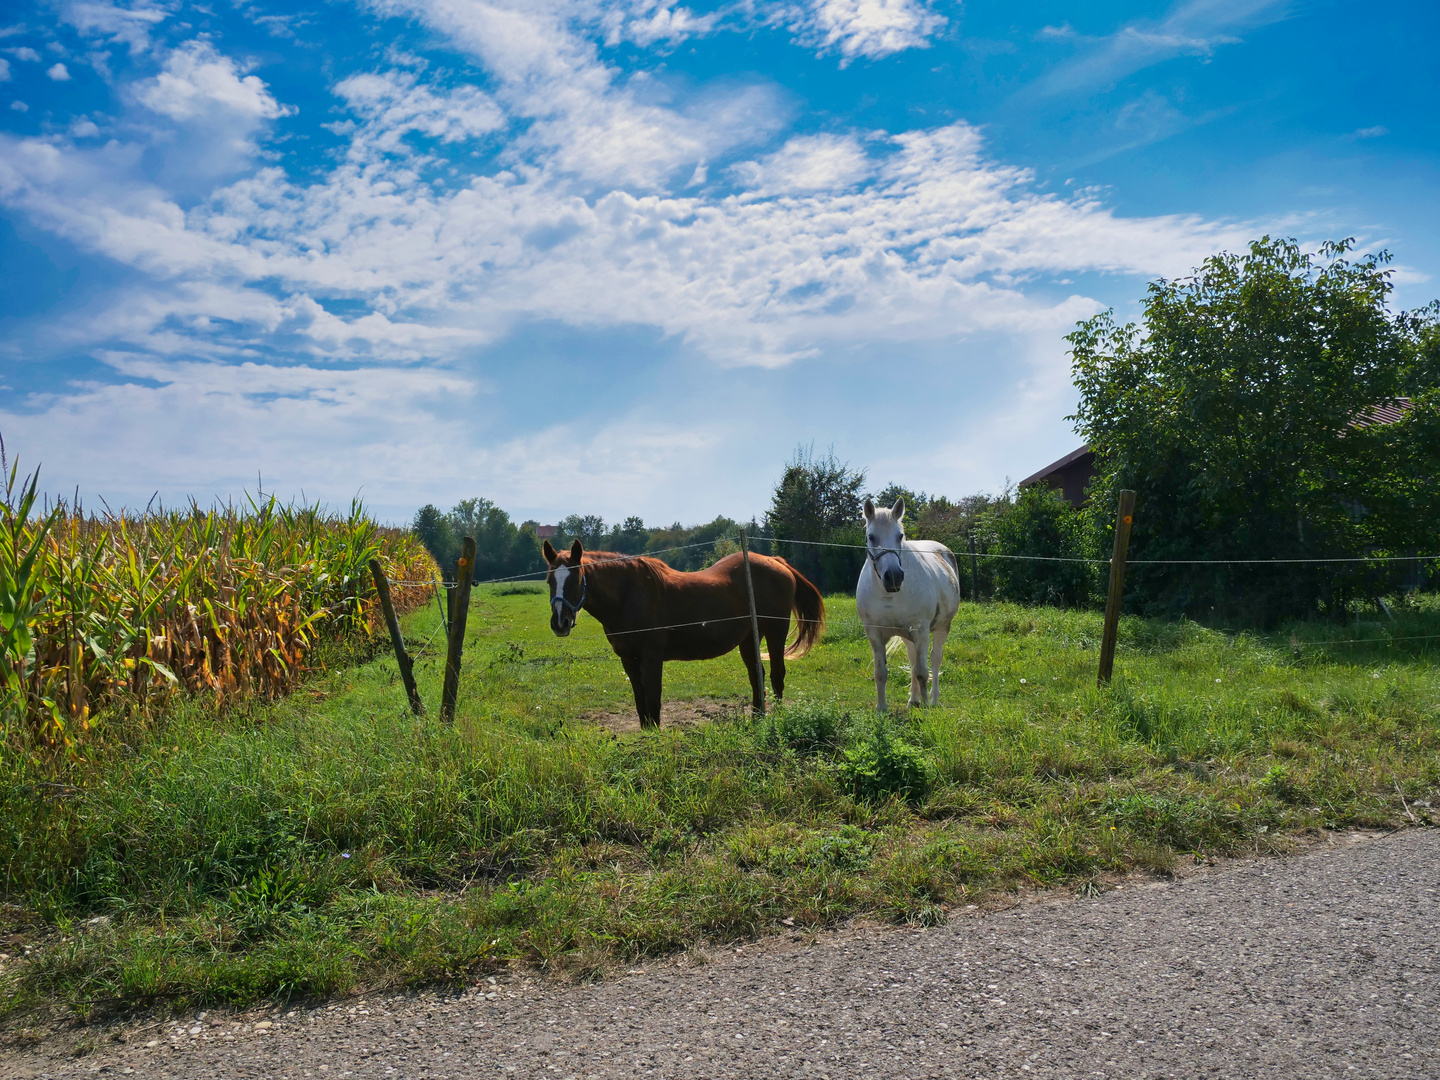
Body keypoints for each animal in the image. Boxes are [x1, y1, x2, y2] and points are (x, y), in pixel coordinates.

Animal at [541, 538, 835, 731]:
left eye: (576, 578)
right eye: (549, 580)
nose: (560, 622)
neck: (628, 596)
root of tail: (776, 562)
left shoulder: (651, 658)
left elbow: (653, 699)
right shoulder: (628, 660)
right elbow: (640, 700)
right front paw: (646, 734)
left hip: (775, 633)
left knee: (776, 676)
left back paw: (777, 719)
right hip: (748, 640)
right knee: (758, 676)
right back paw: (757, 718)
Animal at [858, 498, 961, 711]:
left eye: (900, 536)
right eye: (871, 537)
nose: (894, 577)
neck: (888, 595)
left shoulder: (921, 631)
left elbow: (922, 672)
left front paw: (926, 709)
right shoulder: (874, 633)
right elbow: (880, 673)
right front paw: (881, 708)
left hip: (942, 628)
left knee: (935, 659)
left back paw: (933, 699)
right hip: (908, 636)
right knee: (913, 659)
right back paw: (913, 700)